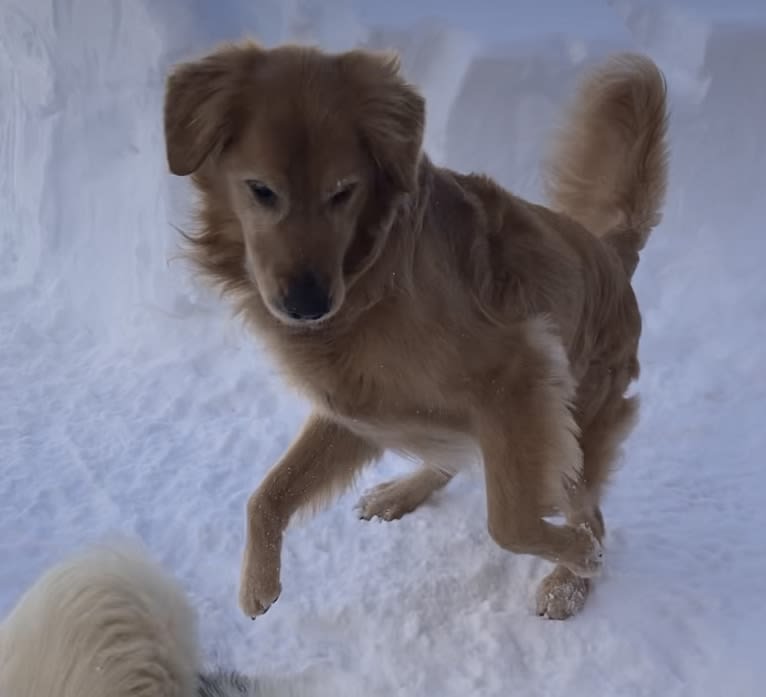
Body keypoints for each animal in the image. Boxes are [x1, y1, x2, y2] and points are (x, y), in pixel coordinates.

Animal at [165, 43, 668, 616]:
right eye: (261, 190)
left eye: (343, 193)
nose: (308, 305)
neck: (371, 281)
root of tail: (612, 251)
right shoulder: (354, 406)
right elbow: (267, 494)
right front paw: (257, 583)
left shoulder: (519, 377)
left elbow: (509, 523)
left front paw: (580, 556)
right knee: (454, 457)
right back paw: (402, 493)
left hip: (577, 422)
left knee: (589, 512)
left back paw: (570, 580)